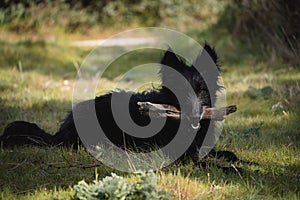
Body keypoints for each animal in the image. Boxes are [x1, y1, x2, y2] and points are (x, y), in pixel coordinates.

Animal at [0, 44, 239, 165]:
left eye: (202, 90)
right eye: (180, 91)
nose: (194, 116)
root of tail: (60, 133)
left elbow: (228, 155)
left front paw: (238, 161)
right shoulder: (179, 157)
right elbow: (210, 163)